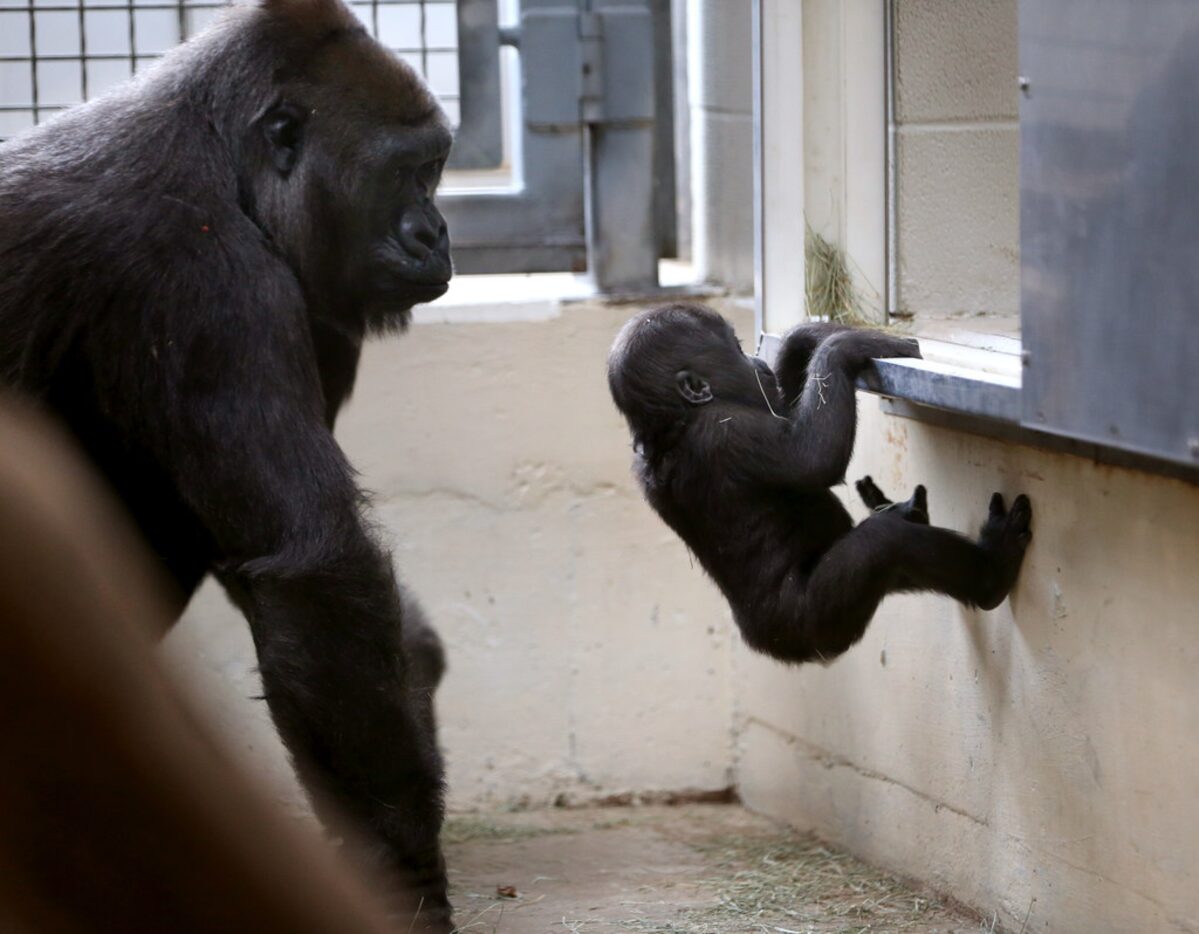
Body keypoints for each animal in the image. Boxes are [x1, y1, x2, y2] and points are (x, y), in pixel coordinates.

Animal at [0, 1, 453, 925]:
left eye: (437, 169)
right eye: (408, 173)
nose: (436, 234)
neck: (218, 157)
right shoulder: (207, 278)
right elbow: (318, 566)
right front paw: (404, 869)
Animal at [609, 303, 1031, 661]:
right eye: (737, 349)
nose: (755, 359)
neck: (672, 424)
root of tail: (764, 644)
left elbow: (787, 404)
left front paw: (806, 335)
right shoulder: (726, 431)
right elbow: (812, 457)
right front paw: (847, 346)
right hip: (812, 620)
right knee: (890, 543)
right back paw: (993, 572)